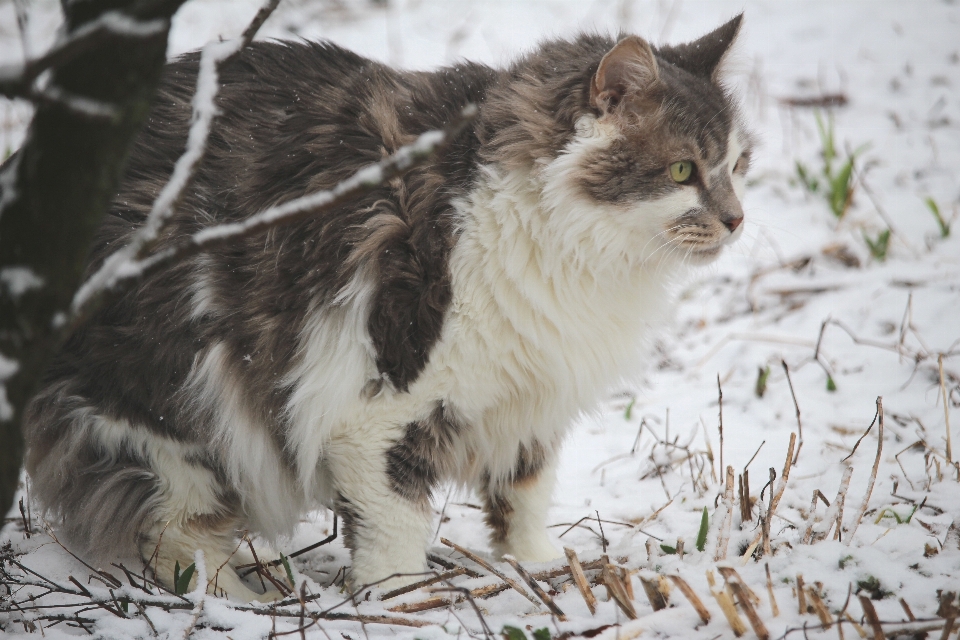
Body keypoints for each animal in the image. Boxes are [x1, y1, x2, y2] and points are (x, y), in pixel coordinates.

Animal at [24, 15, 752, 604]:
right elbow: (399, 524)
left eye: (737, 165)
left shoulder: (527, 401)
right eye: (684, 171)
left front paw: (542, 569)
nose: (737, 219)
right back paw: (249, 600)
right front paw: (403, 599)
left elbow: (525, 497)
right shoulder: (374, 412)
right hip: (165, 420)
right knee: (177, 534)